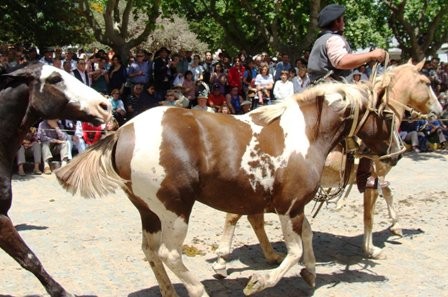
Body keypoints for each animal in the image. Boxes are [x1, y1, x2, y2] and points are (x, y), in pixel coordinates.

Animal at [57, 81, 402, 296]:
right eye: (387, 116)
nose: (396, 155)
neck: (305, 134)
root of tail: (123, 132)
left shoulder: (296, 207)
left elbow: (307, 236)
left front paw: (311, 273)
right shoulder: (288, 206)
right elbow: (294, 251)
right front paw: (259, 281)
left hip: (149, 212)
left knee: (151, 252)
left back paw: (169, 291)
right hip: (175, 209)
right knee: (170, 254)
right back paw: (198, 290)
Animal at [212, 59, 442, 276]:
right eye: (427, 82)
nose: (439, 110)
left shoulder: (378, 176)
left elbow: (388, 193)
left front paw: (396, 227)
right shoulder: (372, 176)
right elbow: (370, 214)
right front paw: (371, 248)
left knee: (253, 218)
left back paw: (271, 255)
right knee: (236, 216)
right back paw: (223, 261)